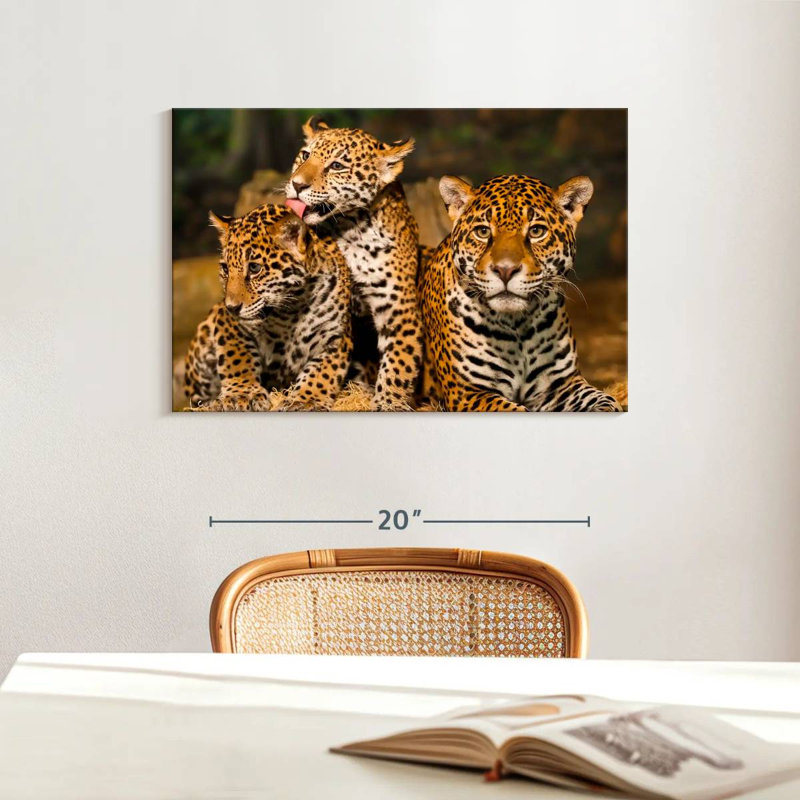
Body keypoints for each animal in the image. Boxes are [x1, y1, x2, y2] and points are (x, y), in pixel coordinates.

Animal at [184, 203, 352, 411]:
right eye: (225, 269)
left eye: (255, 268)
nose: (231, 307)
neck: (292, 309)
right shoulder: (228, 323)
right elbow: (237, 357)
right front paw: (242, 394)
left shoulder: (336, 337)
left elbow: (322, 373)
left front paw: (305, 400)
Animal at [285, 117, 422, 410]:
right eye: (305, 155)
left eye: (337, 166)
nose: (297, 185)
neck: (350, 229)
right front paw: (305, 398)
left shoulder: (400, 309)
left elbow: (399, 363)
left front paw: (389, 403)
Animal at [420, 174, 622, 412]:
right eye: (482, 232)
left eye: (536, 231)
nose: (505, 270)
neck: (517, 326)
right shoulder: (467, 393)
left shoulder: (561, 384)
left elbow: (604, 401)